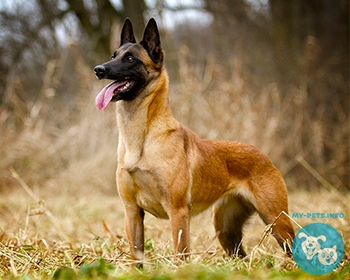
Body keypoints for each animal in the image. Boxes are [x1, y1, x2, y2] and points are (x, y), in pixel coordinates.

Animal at [93, 18, 296, 262]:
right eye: (113, 55)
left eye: (130, 58)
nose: (98, 69)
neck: (141, 139)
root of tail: (263, 155)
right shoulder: (132, 211)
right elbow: (136, 256)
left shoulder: (178, 212)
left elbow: (181, 254)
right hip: (226, 230)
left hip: (277, 221)